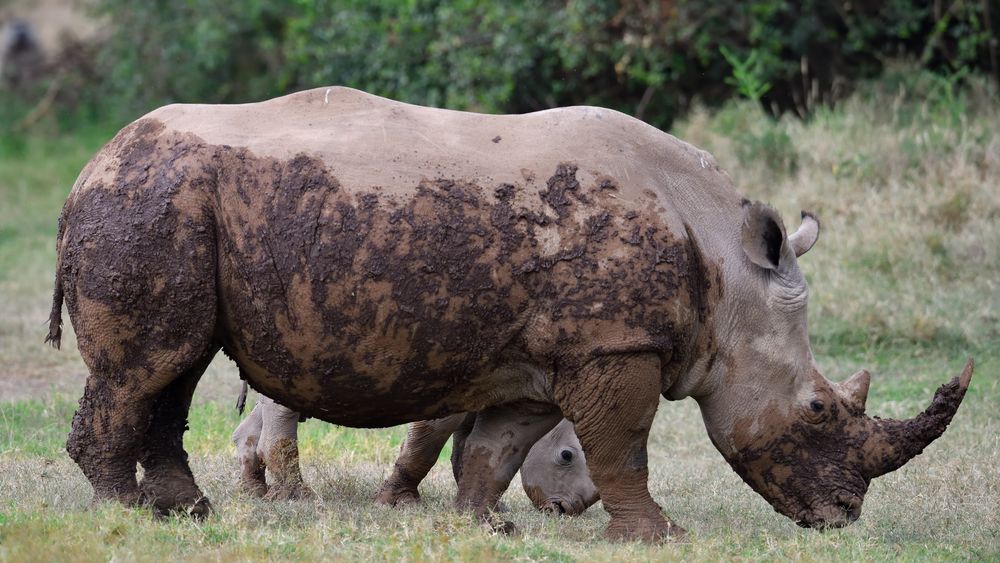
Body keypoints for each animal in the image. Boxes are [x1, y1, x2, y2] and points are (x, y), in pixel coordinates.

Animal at [48, 87, 976, 540]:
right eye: (818, 408)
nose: (842, 517)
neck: (728, 271)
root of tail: (89, 166)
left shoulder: (552, 352)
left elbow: (497, 445)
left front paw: (482, 524)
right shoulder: (614, 344)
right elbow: (623, 445)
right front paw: (659, 536)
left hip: (173, 204)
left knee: (176, 363)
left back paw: (185, 512)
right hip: (151, 202)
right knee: (147, 365)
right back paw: (125, 513)